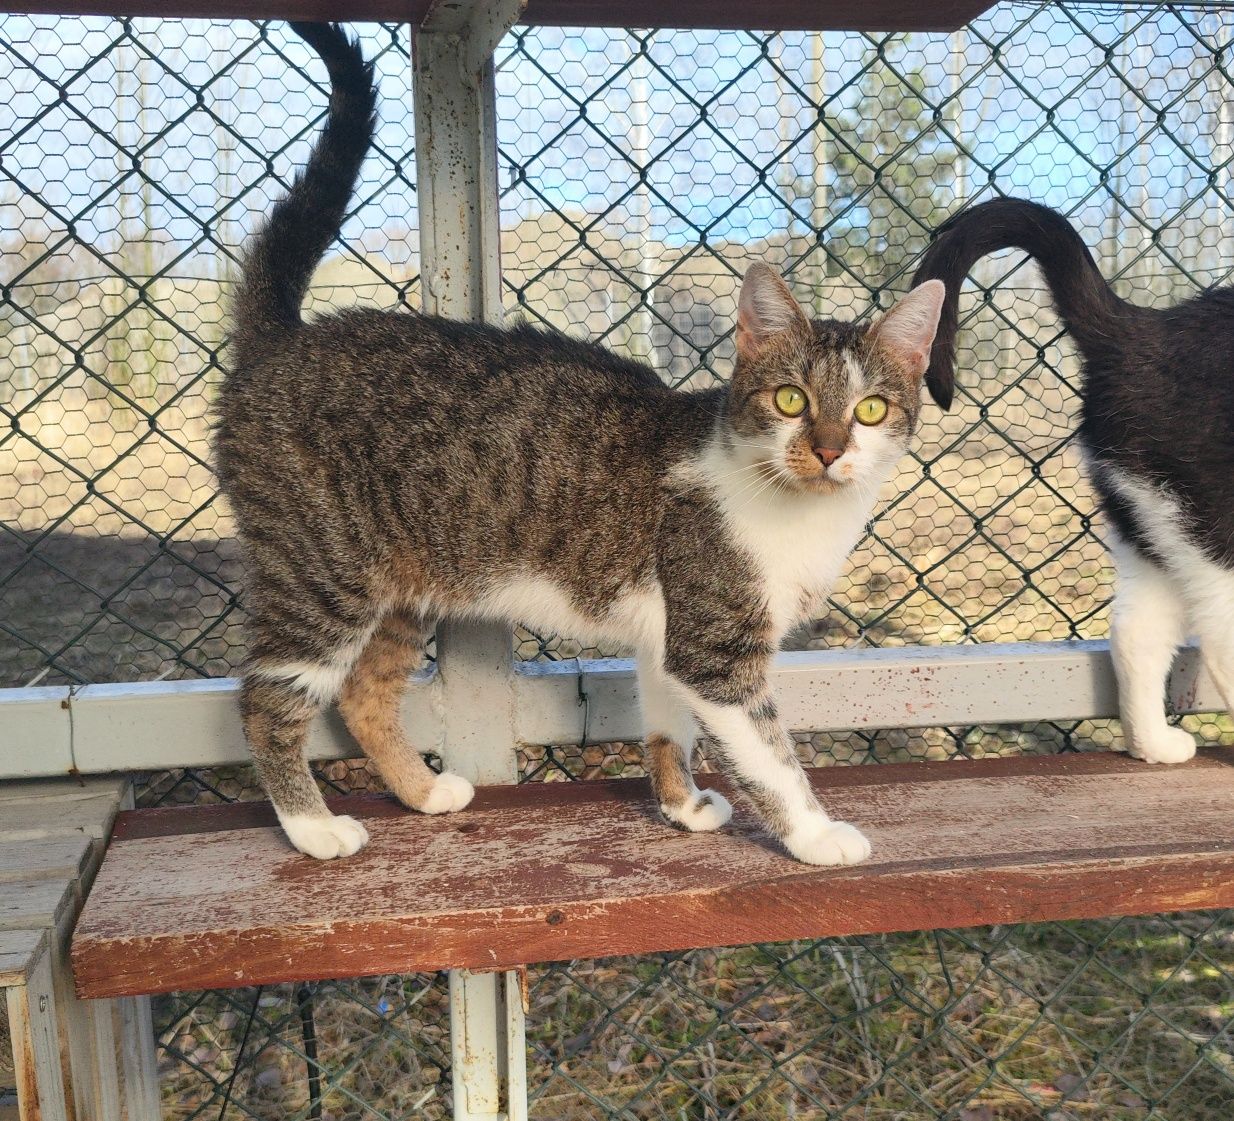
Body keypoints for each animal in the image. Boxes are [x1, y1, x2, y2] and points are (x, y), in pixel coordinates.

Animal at [214, 21, 942, 869]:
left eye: (869, 409)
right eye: (791, 399)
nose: (828, 450)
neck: (798, 507)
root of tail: (282, 340)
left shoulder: (670, 638)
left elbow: (667, 724)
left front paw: (681, 805)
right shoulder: (716, 647)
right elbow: (770, 752)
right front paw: (816, 832)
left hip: (399, 585)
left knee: (365, 693)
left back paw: (423, 792)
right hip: (321, 573)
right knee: (266, 699)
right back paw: (311, 825)